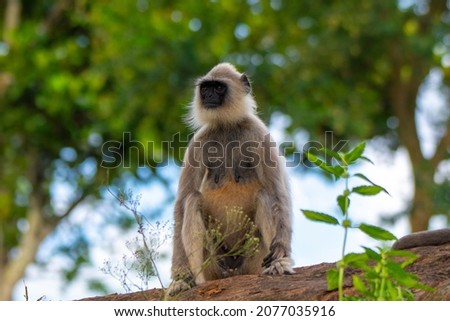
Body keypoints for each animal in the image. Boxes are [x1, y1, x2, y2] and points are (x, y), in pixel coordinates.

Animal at [167, 62, 294, 296]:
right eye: (206, 88)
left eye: (218, 88)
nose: (208, 95)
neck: (226, 126)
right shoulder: (197, 142)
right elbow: (181, 203)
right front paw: (180, 278)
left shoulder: (260, 134)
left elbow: (277, 194)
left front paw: (281, 256)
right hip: (213, 266)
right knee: (193, 199)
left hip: (254, 259)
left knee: (265, 196)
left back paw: (276, 264)